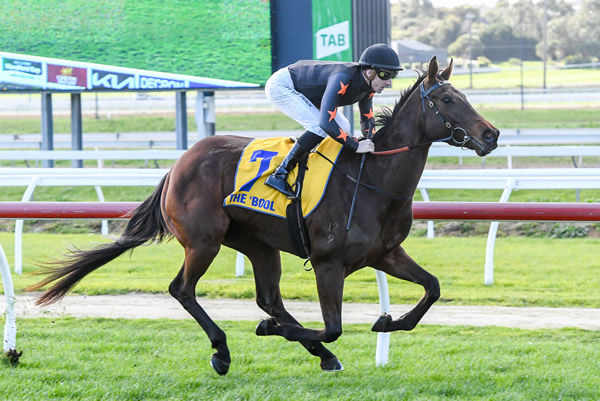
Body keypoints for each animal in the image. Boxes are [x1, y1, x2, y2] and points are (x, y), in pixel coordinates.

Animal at [29, 57, 496, 376]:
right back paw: (223, 350)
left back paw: (318, 354)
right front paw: (271, 331)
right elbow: (332, 326)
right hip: (204, 241)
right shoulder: (328, 264)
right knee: (183, 289)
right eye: (447, 99)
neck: (371, 179)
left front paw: (388, 320)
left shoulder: (385, 254)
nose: (491, 134)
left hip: (258, 245)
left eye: (464, 96)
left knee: (269, 297)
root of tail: (178, 163)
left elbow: (432, 289)